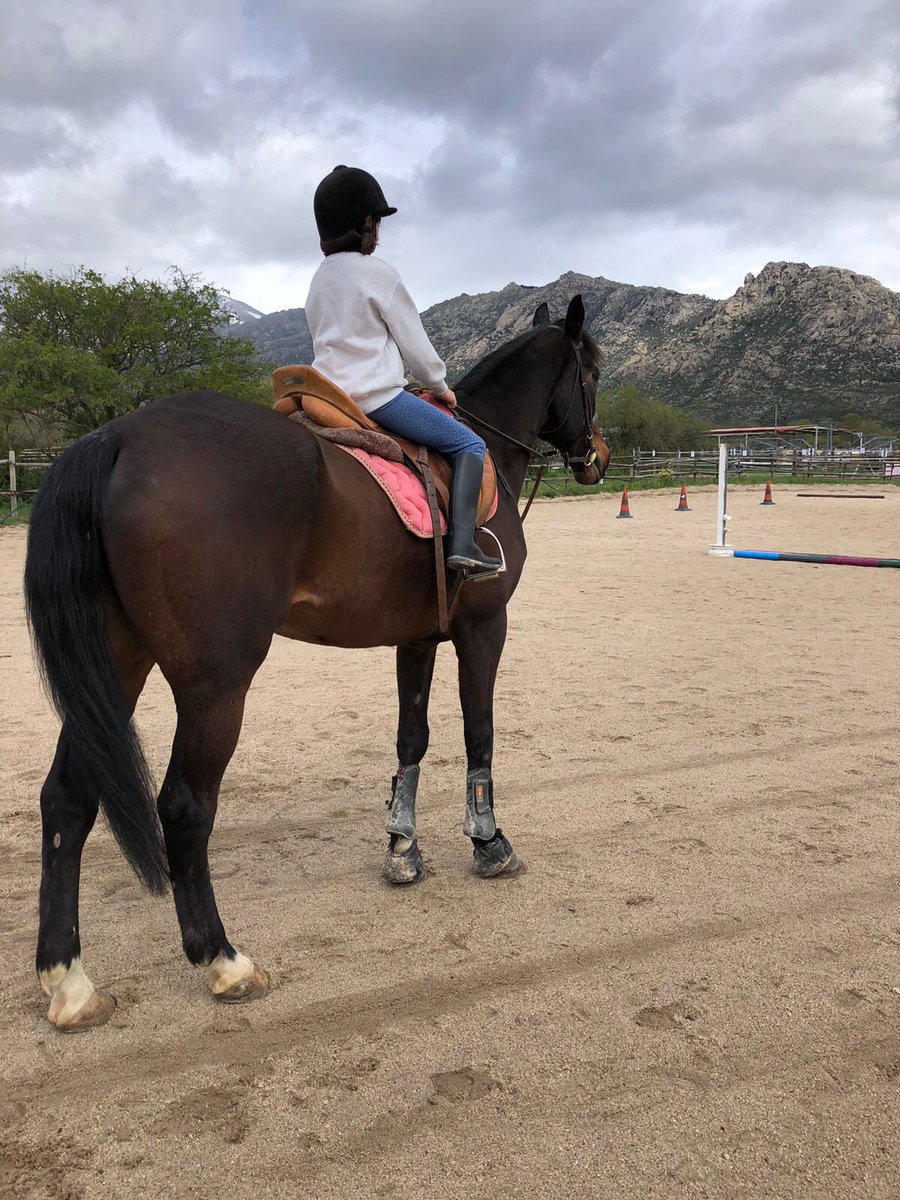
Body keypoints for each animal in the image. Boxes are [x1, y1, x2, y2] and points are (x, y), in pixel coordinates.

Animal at [24, 294, 609, 1031]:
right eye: (594, 370)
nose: (598, 456)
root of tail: (117, 438)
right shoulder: (483, 629)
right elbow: (480, 733)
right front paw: (488, 843)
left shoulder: (418, 638)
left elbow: (411, 739)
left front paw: (402, 849)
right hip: (215, 684)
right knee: (184, 807)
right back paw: (223, 961)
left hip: (116, 669)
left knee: (67, 801)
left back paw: (69, 982)